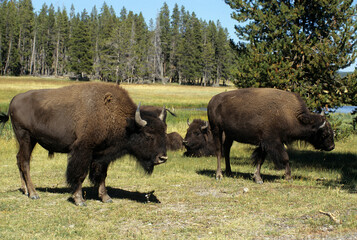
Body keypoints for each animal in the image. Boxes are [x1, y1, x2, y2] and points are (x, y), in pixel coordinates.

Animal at [0, 83, 168, 206]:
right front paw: (79, 200)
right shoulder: (83, 150)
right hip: (26, 137)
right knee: (25, 162)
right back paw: (34, 194)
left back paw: (26, 190)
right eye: (148, 135)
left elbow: (102, 176)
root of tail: (14, 100)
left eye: (164, 133)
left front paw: (106, 198)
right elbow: (80, 174)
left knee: (19, 159)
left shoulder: (102, 155)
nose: (163, 158)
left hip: (28, 140)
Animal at [207, 88, 336, 182]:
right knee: (219, 151)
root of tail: (212, 100)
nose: (332, 146)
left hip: (229, 134)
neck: (291, 115)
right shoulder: (273, 142)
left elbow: (260, 159)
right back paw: (219, 175)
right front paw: (288, 177)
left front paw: (258, 178)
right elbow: (285, 157)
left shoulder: (264, 143)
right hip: (216, 130)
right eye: (325, 133)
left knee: (227, 150)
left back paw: (229, 172)